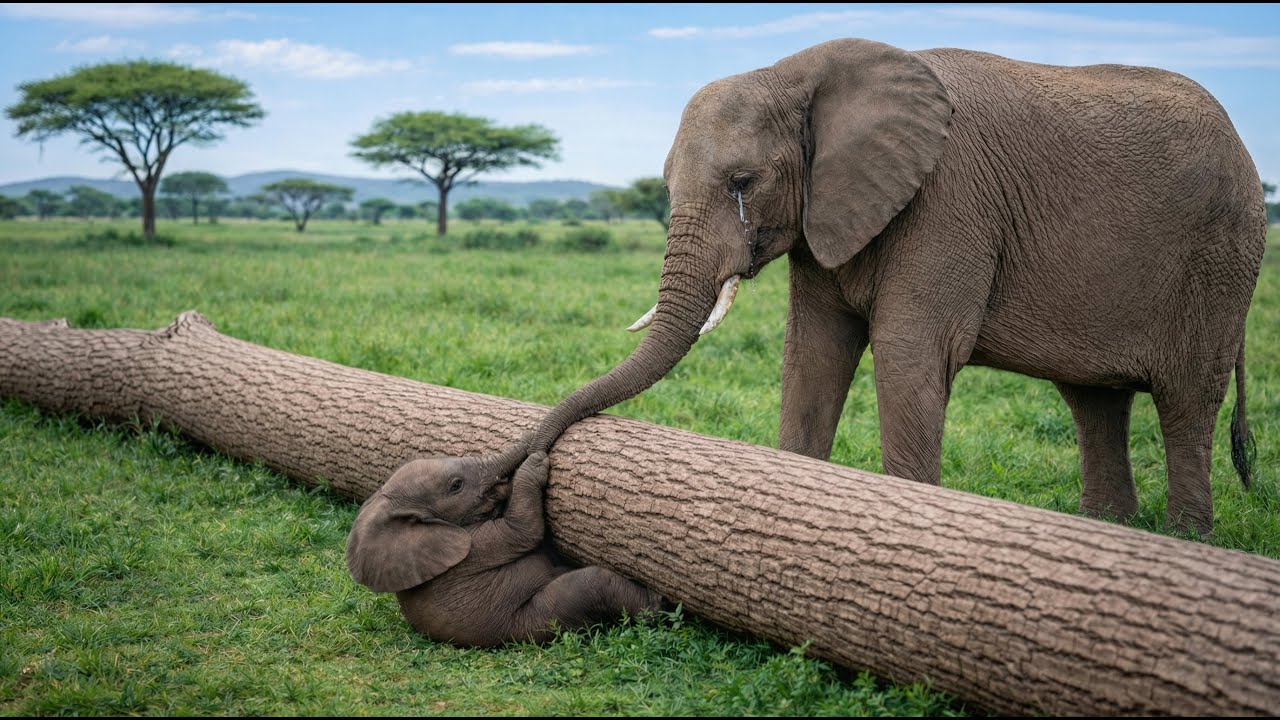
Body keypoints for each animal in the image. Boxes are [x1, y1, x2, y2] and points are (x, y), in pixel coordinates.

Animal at [346, 442, 663, 647]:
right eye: (456, 485)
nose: (533, 441)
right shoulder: (475, 547)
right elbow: (525, 530)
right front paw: (534, 463)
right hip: (528, 623)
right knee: (590, 584)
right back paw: (659, 604)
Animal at [524, 38, 1265, 536]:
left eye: (742, 182)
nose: (524, 467)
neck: (800, 70)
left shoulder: (949, 200)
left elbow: (910, 351)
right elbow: (814, 352)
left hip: (1219, 261)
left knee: (1186, 401)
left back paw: (1183, 538)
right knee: (1094, 402)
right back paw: (1109, 528)